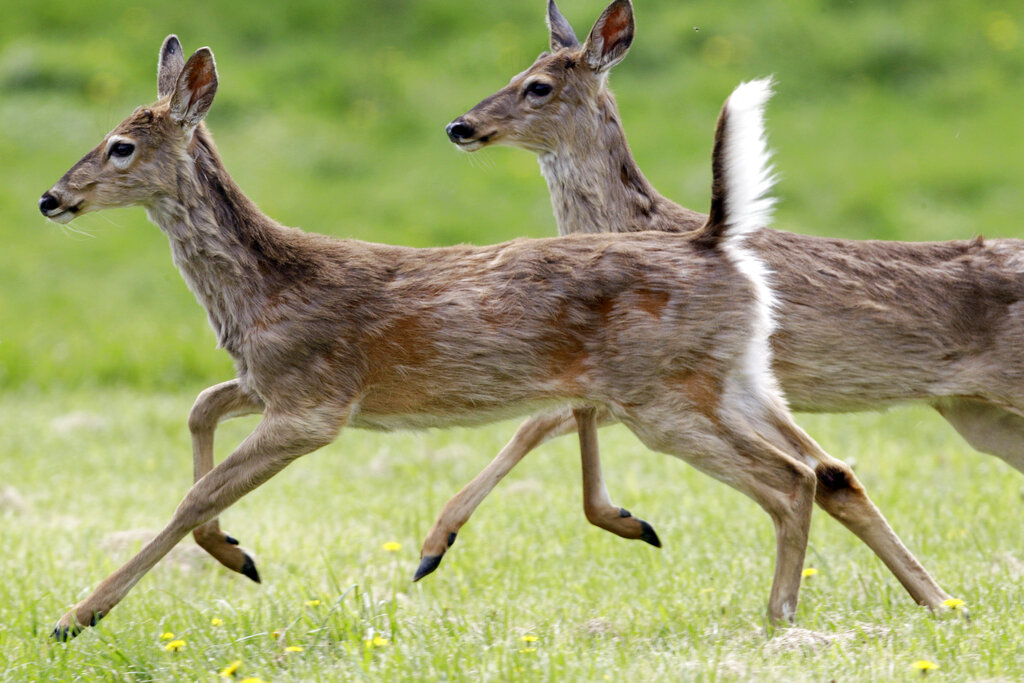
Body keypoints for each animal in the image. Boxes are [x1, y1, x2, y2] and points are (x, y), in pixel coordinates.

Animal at [37, 36, 950, 643]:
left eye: (120, 146)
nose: (50, 197)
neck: (266, 287)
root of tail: (718, 243)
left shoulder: (314, 403)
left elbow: (193, 492)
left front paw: (78, 615)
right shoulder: (267, 382)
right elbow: (196, 413)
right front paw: (236, 554)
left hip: (661, 395)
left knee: (789, 479)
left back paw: (779, 617)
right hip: (726, 381)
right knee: (819, 470)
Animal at [425, 0, 1024, 581]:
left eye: (539, 86)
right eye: (514, 73)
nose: (460, 126)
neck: (638, 223)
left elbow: (539, 421)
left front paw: (435, 545)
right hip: (976, 413)